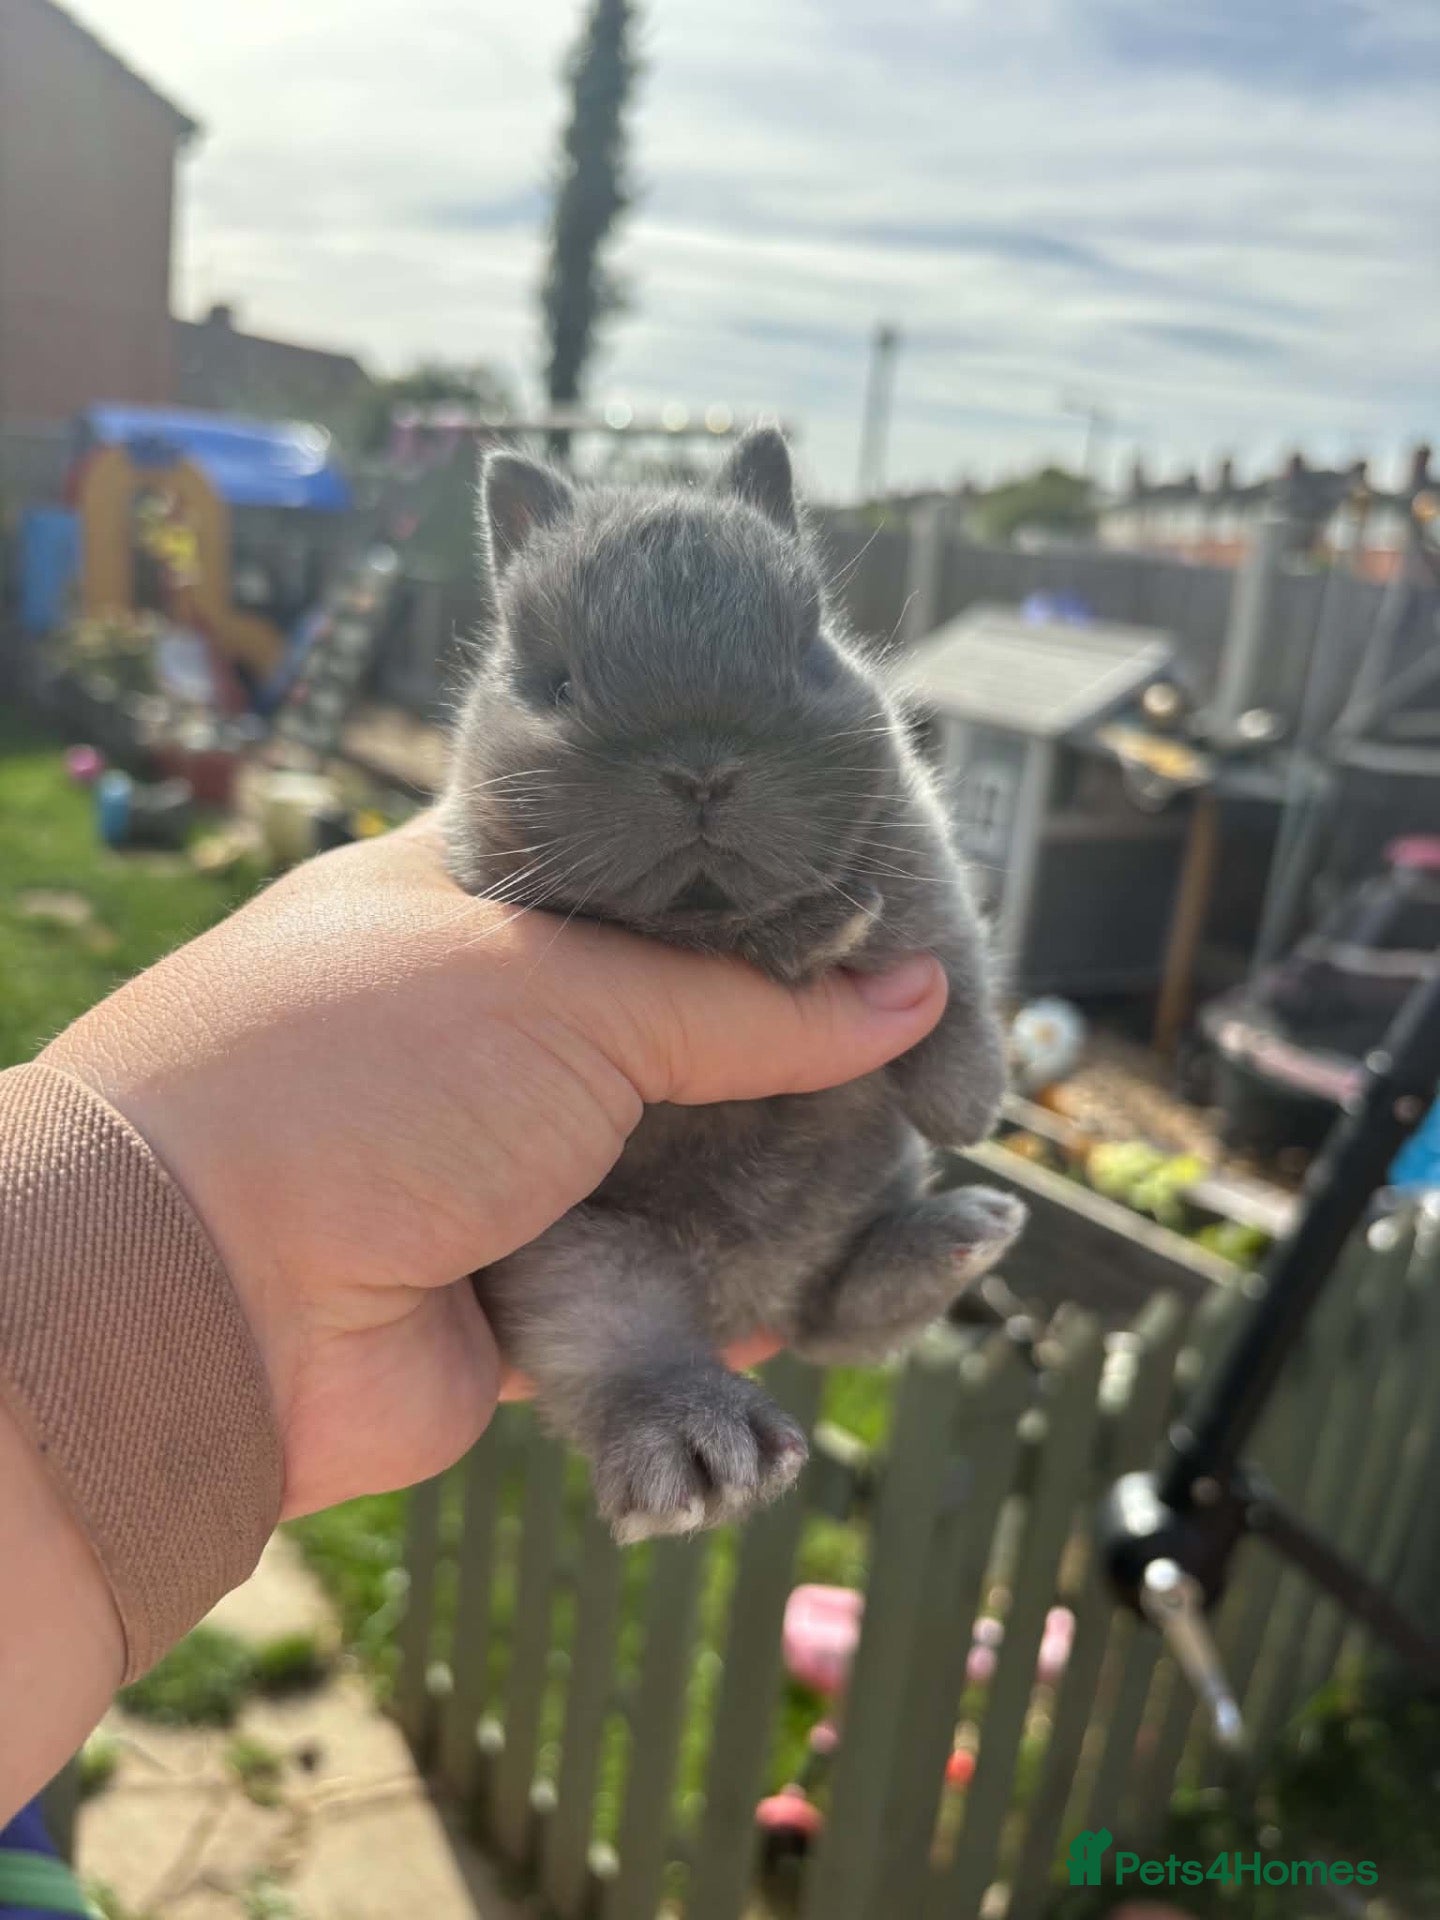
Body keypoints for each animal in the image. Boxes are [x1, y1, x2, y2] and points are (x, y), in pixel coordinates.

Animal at [440, 428, 1025, 1543]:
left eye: (807, 649)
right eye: (557, 683)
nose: (703, 771)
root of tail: (750, 1301)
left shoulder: (913, 848)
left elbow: (949, 954)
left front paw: (967, 1103)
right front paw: (815, 934)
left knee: (843, 1321)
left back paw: (961, 1236)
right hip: (580, 1262)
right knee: (626, 1354)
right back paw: (706, 1454)